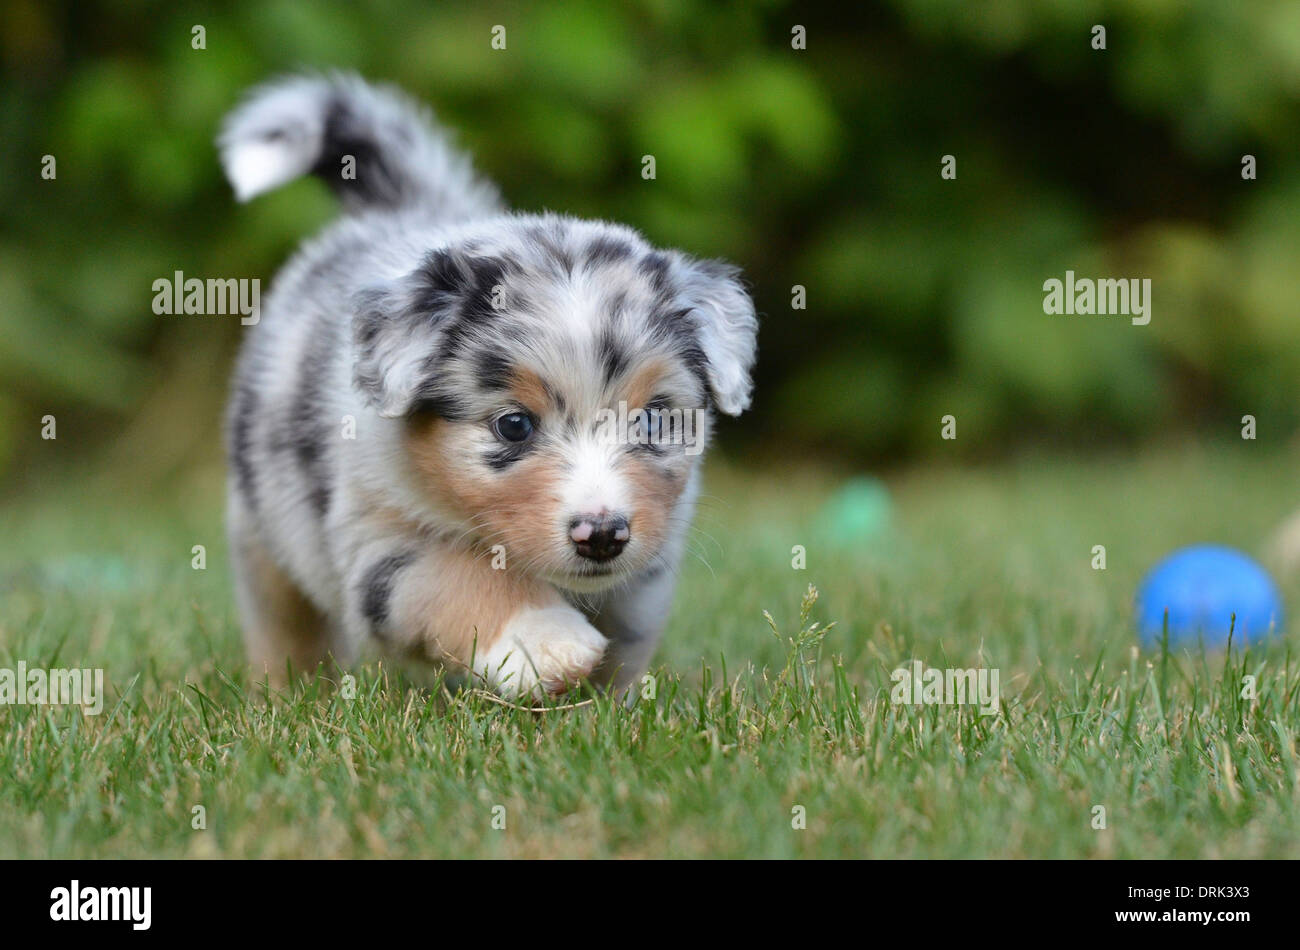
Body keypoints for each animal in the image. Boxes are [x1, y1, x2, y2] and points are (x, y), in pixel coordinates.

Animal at [217, 74, 759, 696]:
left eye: (651, 418)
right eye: (514, 425)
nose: (602, 534)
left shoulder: (649, 567)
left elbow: (626, 636)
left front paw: (605, 704)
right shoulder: (375, 537)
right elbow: (461, 574)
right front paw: (547, 642)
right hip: (263, 527)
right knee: (284, 621)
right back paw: (286, 692)